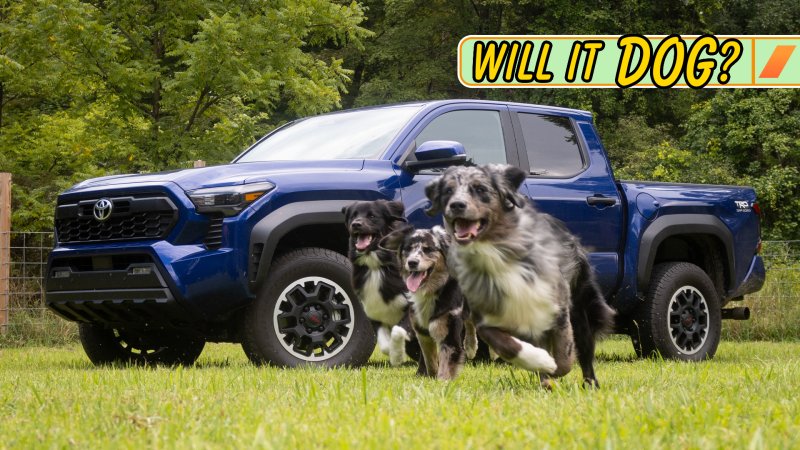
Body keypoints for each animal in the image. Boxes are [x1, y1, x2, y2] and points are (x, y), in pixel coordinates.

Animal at [342, 200, 418, 366]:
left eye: (372, 216)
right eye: (353, 216)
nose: (356, 224)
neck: (375, 266)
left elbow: (397, 330)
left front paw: (397, 355)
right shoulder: (374, 311)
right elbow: (384, 345)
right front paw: (395, 354)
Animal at [380, 225, 476, 380]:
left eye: (428, 249)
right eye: (408, 248)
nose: (412, 262)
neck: (431, 290)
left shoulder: (448, 331)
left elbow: (446, 362)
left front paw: (443, 380)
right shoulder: (421, 330)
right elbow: (429, 359)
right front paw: (428, 376)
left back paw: (473, 346)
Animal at [428, 164, 616, 386]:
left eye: (480, 189)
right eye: (448, 191)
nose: (457, 205)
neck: (496, 255)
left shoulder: (557, 307)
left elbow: (564, 356)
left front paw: (553, 367)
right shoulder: (490, 317)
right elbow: (505, 343)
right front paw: (541, 363)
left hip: (581, 311)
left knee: (585, 352)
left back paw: (589, 384)